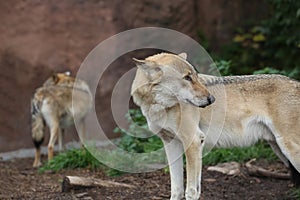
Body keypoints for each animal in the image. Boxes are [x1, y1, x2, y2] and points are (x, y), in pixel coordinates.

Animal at [131, 52, 300, 200]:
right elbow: (176, 190)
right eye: (187, 78)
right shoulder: (171, 143)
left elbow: (191, 192)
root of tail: (297, 83)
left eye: (195, 76)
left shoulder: (193, 141)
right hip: (279, 150)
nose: (211, 99)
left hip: (289, 150)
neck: (159, 107)